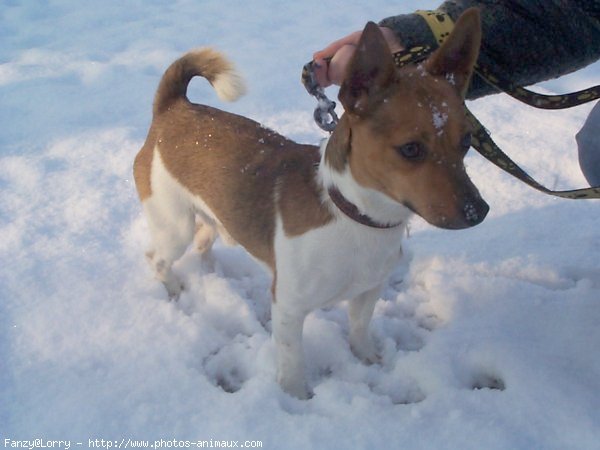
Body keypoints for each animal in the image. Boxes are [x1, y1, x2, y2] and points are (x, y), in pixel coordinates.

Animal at [132, 8, 488, 400]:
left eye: (467, 141)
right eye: (410, 149)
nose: (478, 212)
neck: (356, 217)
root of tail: (174, 109)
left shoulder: (368, 290)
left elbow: (359, 329)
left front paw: (368, 358)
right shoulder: (288, 307)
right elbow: (292, 363)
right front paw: (296, 399)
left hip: (210, 213)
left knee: (204, 238)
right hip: (173, 224)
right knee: (158, 257)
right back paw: (173, 289)